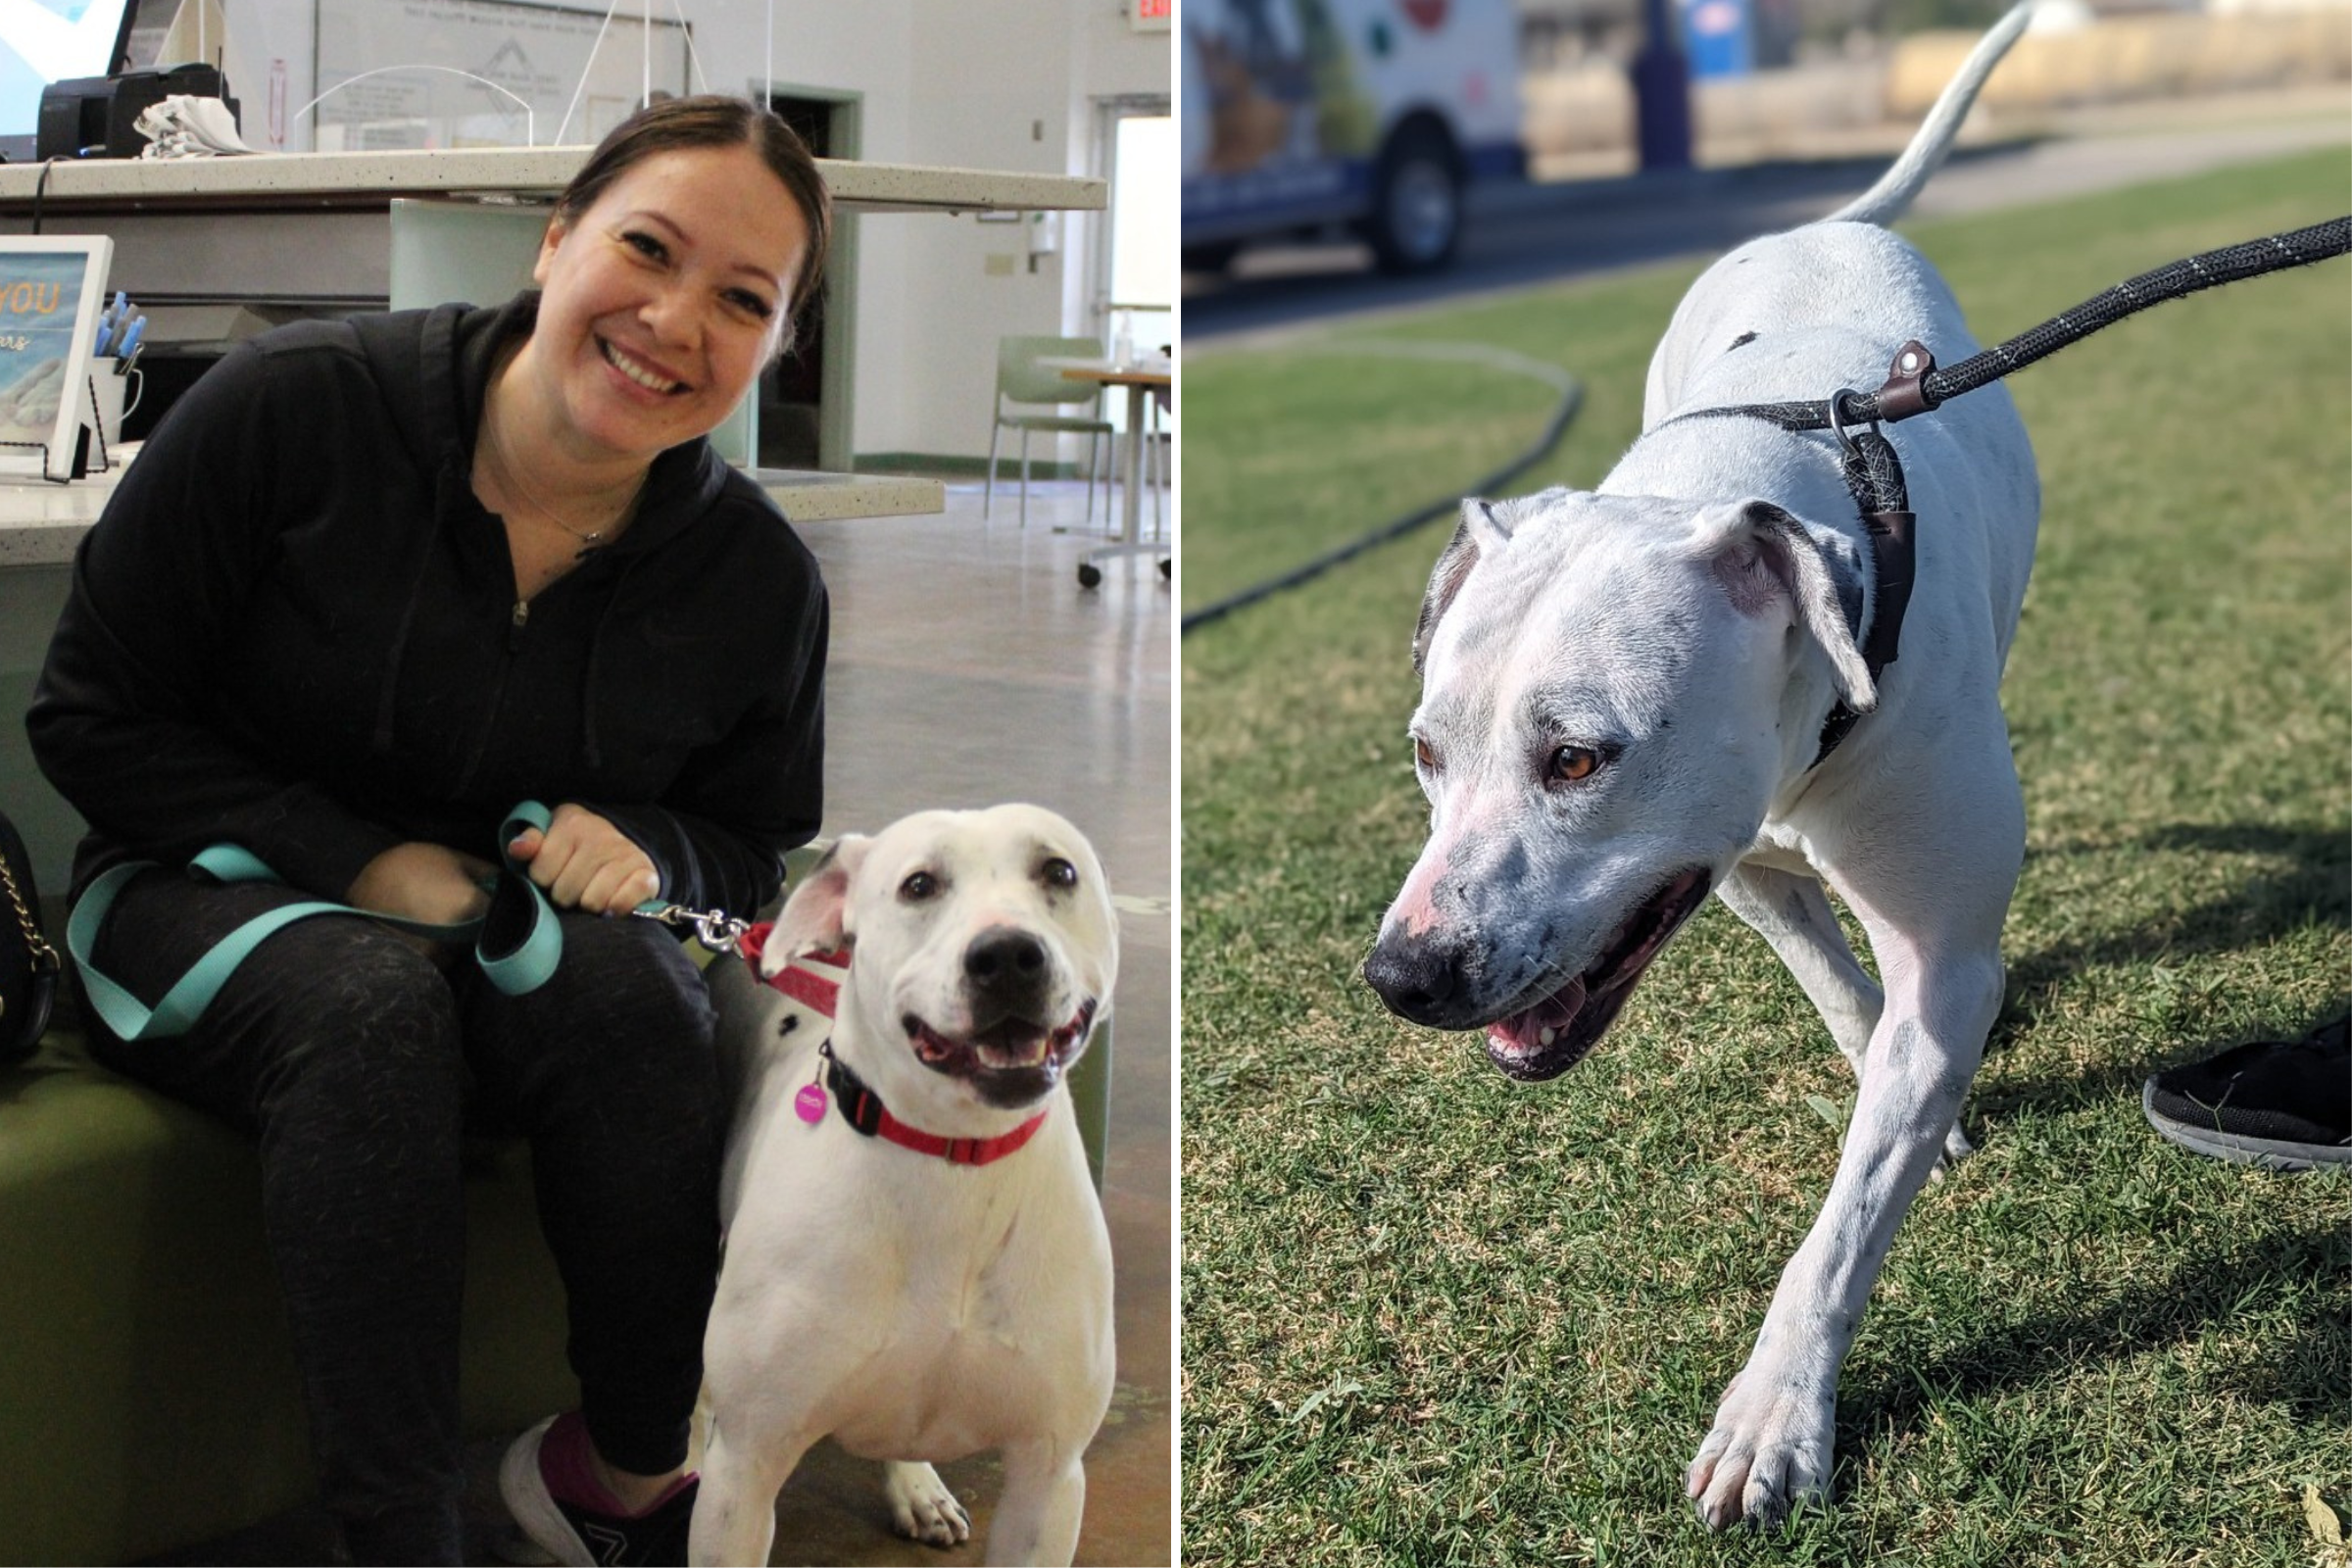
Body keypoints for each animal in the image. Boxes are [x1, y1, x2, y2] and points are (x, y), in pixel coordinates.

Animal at [691, 808, 1114, 1568]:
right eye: (919, 885)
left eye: (1059, 871)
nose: (1008, 955)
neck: (953, 1163)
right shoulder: (747, 1466)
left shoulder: (1049, 1476)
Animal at [1364, 6, 2041, 1542]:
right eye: (1428, 753)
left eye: (1576, 757)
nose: (1402, 974)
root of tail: (1821, 223)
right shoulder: (1741, 873)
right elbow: (1846, 1002)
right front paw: (1905, 1096)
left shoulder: (1947, 952)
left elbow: (1839, 1228)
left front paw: (1773, 1419)